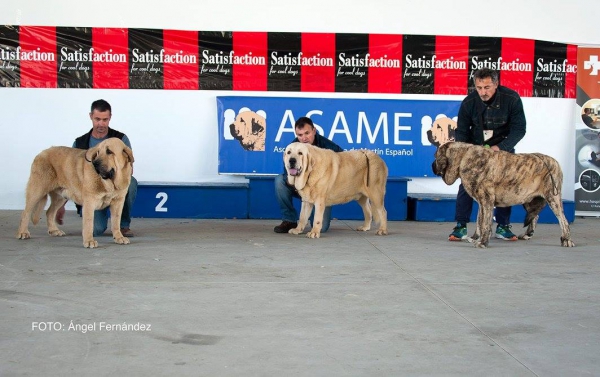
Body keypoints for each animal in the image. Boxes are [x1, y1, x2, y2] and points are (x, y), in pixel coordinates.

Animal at [434, 141, 576, 247]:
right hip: (528, 198)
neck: (464, 156)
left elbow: (485, 223)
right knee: (535, 216)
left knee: (563, 220)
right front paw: (475, 238)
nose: (432, 166)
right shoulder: (482, 202)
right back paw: (527, 234)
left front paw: (482, 242)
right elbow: (479, 221)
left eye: (436, 157)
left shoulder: (486, 200)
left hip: (553, 197)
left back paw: (566, 240)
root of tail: (556, 163)